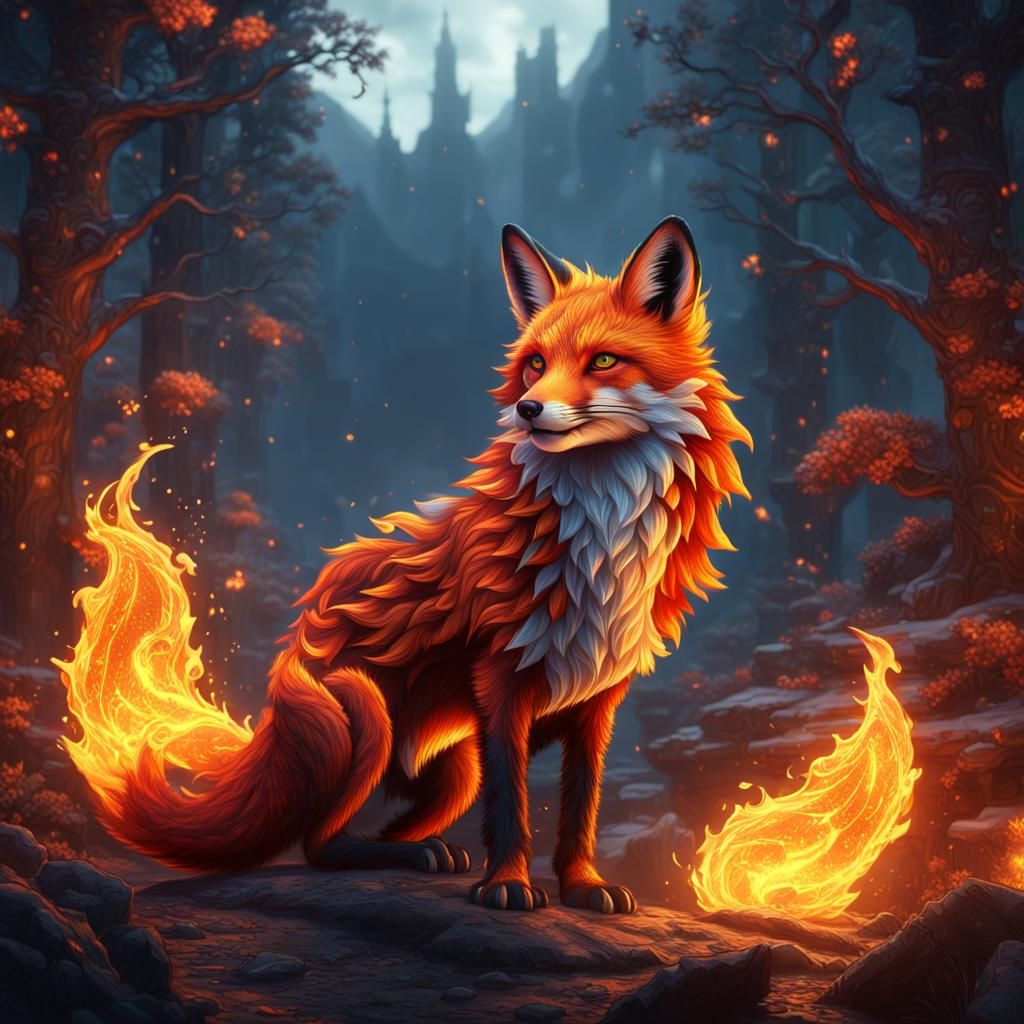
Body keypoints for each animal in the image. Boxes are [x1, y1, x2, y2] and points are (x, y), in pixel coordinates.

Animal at [85, 216, 751, 914]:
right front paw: (508, 885)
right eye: (536, 364)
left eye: (602, 360)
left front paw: (583, 885)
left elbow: (581, 804)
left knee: (383, 831)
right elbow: (513, 804)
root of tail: (288, 665)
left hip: (458, 770)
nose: (528, 409)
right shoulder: (501, 679)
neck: (600, 540)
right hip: (365, 712)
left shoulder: (599, 698)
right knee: (320, 845)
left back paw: (425, 853)